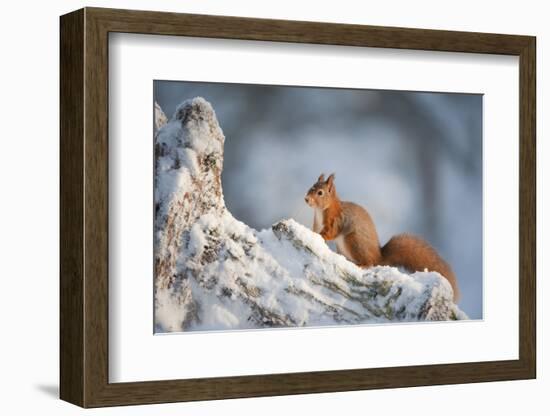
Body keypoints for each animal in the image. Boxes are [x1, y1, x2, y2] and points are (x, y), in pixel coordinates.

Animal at [306, 174, 462, 300]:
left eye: (320, 193)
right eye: (311, 187)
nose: (306, 199)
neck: (321, 210)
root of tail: (379, 257)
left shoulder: (337, 221)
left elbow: (330, 233)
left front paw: (320, 236)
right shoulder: (317, 223)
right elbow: (314, 230)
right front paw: (312, 233)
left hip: (354, 242)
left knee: (369, 263)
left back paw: (362, 265)